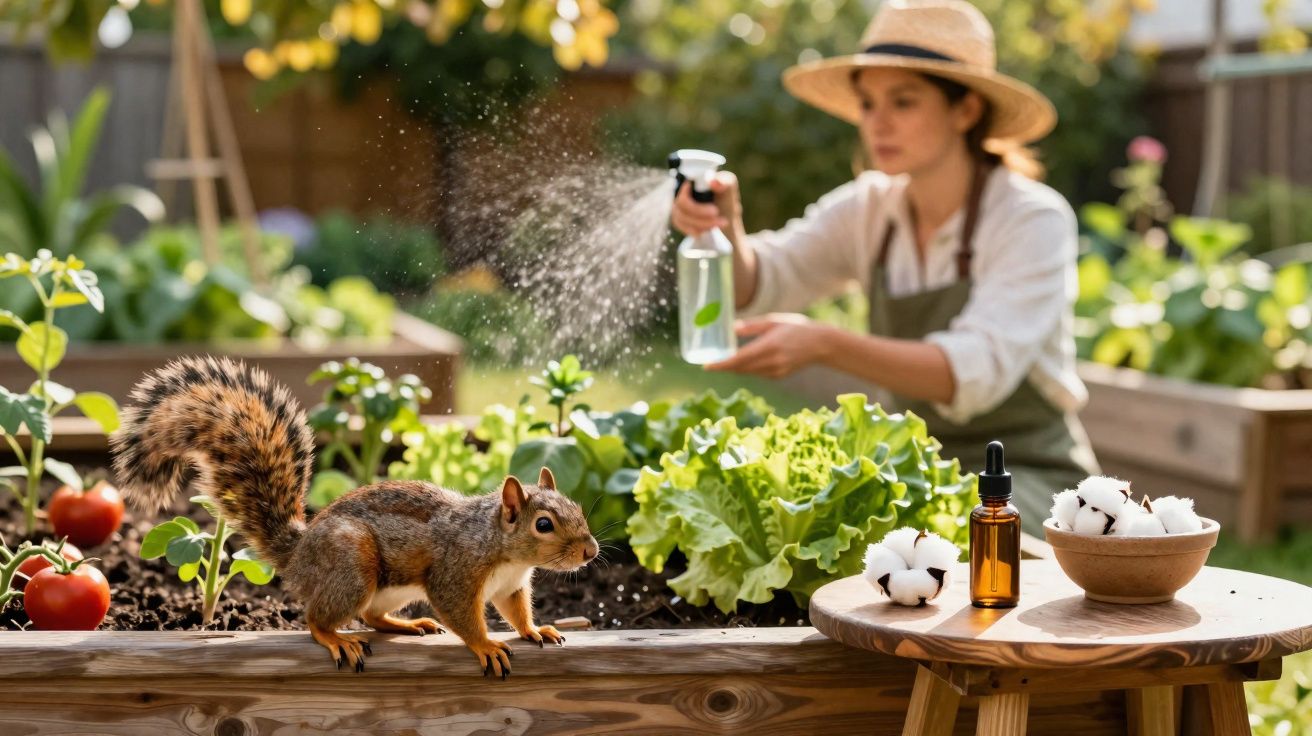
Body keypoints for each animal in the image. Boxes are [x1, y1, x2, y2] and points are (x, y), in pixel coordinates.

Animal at [110, 355, 598, 677]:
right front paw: (487, 645)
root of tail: (300, 553)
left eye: (576, 508)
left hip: (386, 587)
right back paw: (337, 638)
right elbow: (463, 615)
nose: (591, 551)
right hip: (352, 563)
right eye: (543, 524)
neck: (501, 547)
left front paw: (535, 630)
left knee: (373, 616)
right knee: (318, 618)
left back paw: (410, 624)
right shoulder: (456, 574)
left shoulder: (512, 586)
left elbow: (516, 612)